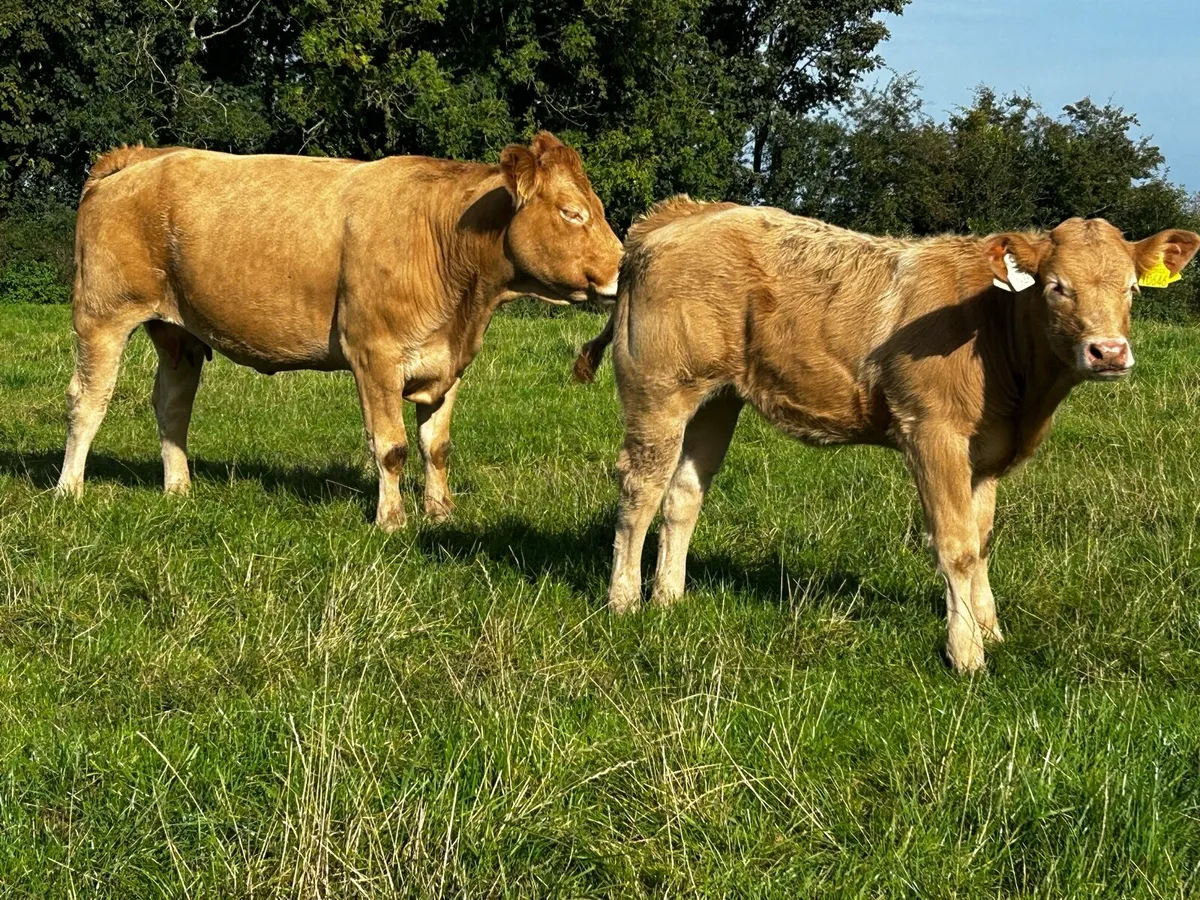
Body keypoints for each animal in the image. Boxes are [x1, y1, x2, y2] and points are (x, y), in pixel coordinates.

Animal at [56, 133, 622, 531]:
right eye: (573, 213)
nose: (624, 267)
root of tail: (142, 156)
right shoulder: (374, 355)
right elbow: (391, 446)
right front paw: (392, 521)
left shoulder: (449, 363)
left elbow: (436, 446)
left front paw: (441, 514)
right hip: (102, 315)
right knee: (88, 400)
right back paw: (69, 490)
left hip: (179, 334)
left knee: (172, 404)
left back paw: (178, 489)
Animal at [575, 197, 1199, 673]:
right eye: (1055, 287)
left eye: (1131, 289)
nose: (1108, 352)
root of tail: (679, 215)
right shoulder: (932, 432)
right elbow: (956, 545)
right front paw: (966, 653)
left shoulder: (986, 453)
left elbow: (981, 540)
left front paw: (990, 628)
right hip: (659, 389)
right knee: (640, 489)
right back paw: (625, 601)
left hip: (717, 397)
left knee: (683, 495)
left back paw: (669, 598)